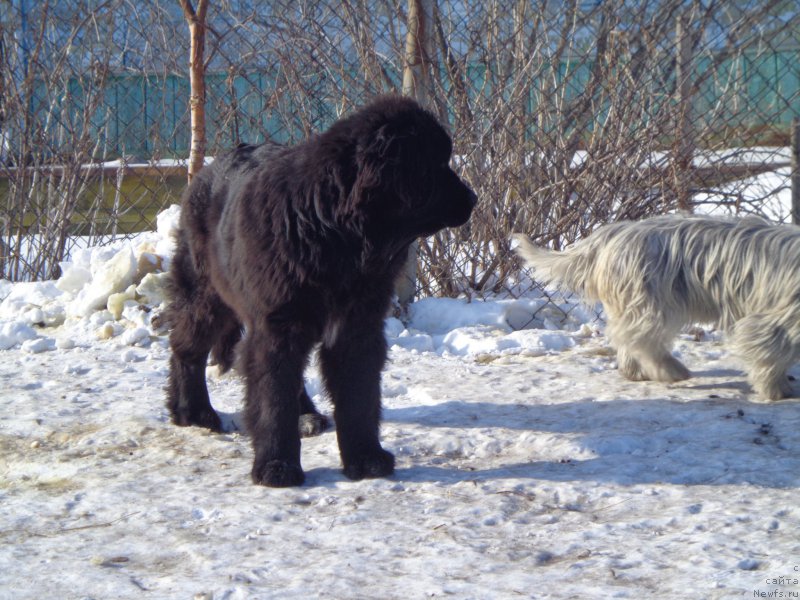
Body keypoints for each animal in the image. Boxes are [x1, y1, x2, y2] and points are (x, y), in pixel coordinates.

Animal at [163, 95, 476, 488]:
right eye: (436, 162)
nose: (473, 198)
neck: (335, 234)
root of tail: (207, 170)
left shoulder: (356, 327)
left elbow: (358, 397)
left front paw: (366, 458)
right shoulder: (277, 325)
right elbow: (272, 398)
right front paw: (277, 466)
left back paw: (306, 415)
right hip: (207, 295)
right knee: (186, 347)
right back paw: (193, 412)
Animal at [512, 216, 800, 404]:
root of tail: (614, 234)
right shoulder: (776, 322)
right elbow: (770, 350)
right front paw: (776, 389)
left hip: (636, 305)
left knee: (628, 340)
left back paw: (634, 372)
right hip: (651, 304)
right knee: (645, 343)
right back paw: (671, 370)